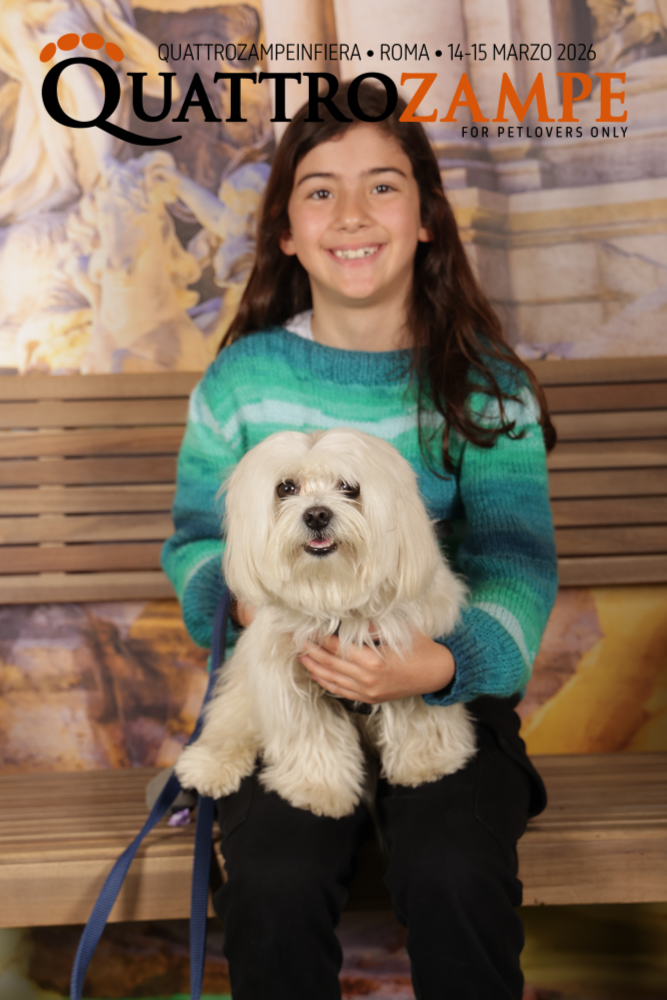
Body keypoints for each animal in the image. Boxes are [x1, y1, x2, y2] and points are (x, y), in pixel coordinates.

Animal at [175, 428, 476, 818]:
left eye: (349, 487)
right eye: (285, 488)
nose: (317, 514)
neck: (334, 597)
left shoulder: (412, 659)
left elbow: (418, 713)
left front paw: (428, 764)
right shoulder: (287, 680)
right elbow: (313, 736)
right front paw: (317, 789)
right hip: (244, 689)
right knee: (230, 722)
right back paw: (211, 765)